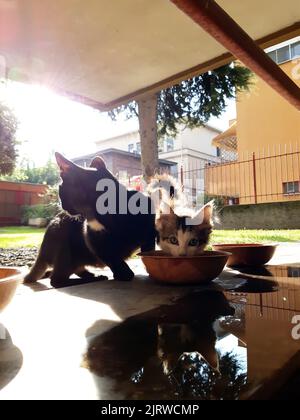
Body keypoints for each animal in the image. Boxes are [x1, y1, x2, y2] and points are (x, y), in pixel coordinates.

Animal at [24, 154, 156, 288]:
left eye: (60, 189)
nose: (61, 205)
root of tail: (41, 251)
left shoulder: (149, 232)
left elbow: (147, 252)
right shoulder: (94, 240)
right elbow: (113, 259)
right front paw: (124, 274)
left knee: (71, 271)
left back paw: (91, 275)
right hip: (63, 243)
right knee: (56, 280)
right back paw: (95, 278)